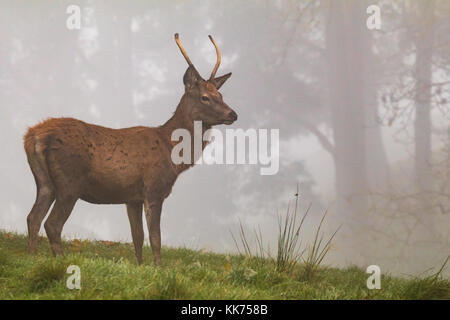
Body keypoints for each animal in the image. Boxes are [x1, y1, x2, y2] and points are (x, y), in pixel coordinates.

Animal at [23, 34, 237, 264]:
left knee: (33, 217)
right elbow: (155, 237)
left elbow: (138, 236)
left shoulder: (132, 198)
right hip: (70, 182)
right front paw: (159, 268)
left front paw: (140, 266)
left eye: (221, 96)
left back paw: (32, 258)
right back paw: (60, 260)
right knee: (52, 223)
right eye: (205, 97)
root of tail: (34, 136)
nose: (233, 114)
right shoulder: (154, 189)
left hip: (45, 182)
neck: (172, 154)